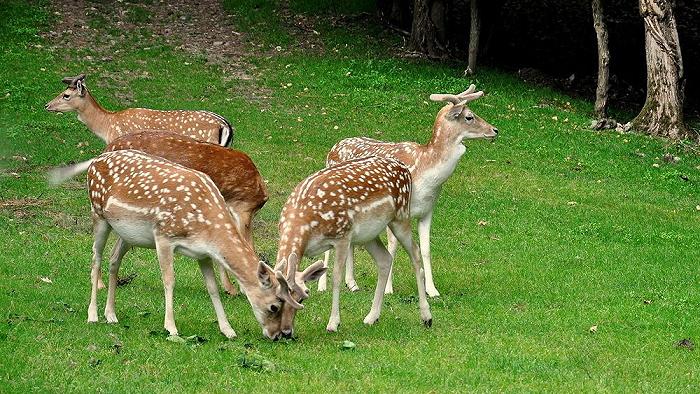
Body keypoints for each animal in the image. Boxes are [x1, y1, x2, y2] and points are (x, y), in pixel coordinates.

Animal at [85, 149, 326, 340]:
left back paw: (111, 315)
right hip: (98, 214)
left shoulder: (203, 253)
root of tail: (95, 161)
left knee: (114, 259)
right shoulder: (163, 236)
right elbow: (169, 281)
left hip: (127, 234)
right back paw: (93, 315)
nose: (278, 335)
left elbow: (213, 288)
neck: (206, 225)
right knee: (96, 258)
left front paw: (228, 330)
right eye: (274, 305)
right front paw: (171, 327)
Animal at [274, 155, 432, 336]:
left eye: (301, 298)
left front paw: (333, 323)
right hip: (368, 235)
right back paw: (372, 317)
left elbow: (336, 277)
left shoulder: (343, 236)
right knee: (385, 259)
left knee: (415, 252)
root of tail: (405, 169)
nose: (285, 333)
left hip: (401, 216)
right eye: (274, 302)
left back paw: (426, 317)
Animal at [322, 84, 498, 298]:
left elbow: (426, 249)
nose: (495, 130)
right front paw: (388, 289)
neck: (425, 170)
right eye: (469, 116)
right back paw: (322, 285)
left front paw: (432, 290)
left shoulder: (428, 210)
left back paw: (352, 284)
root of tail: (333, 148)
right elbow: (393, 247)